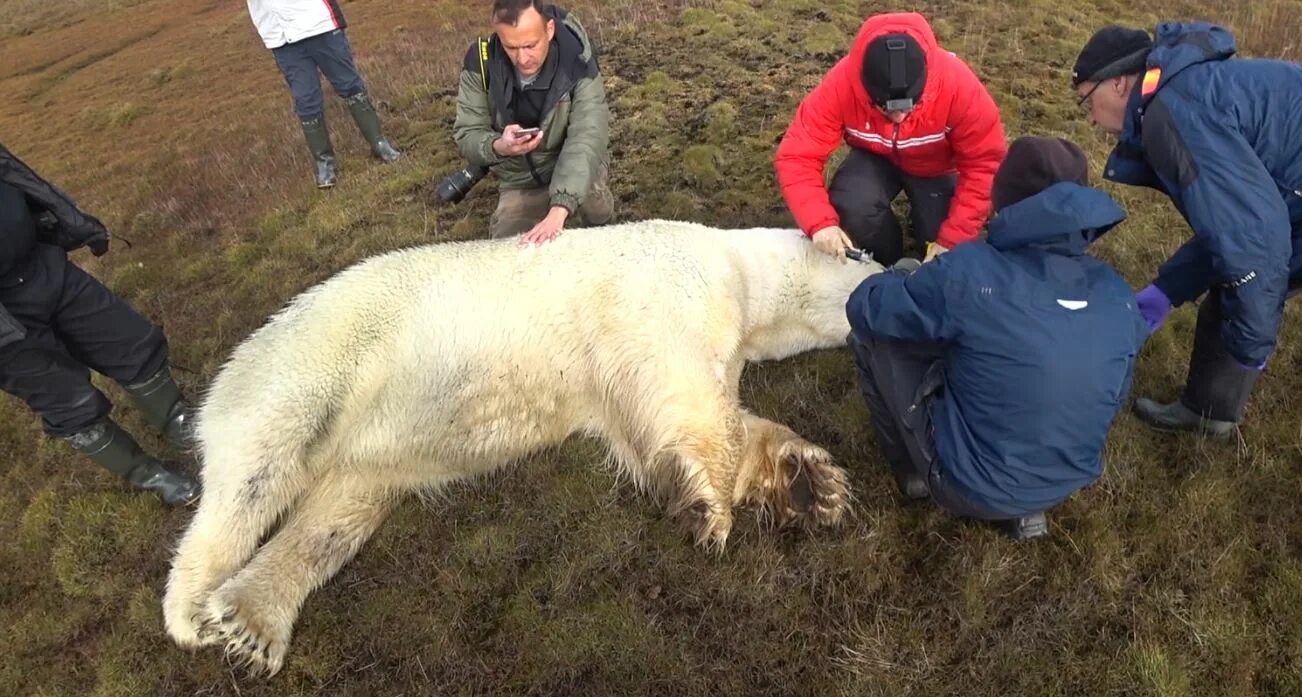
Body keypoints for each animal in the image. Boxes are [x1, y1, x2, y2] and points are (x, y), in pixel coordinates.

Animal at [157, 220, 880, 677]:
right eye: (869, 258)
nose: (902, 265)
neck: (736, 266)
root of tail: (229, 370)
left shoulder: (627, 380)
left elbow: (675, 417)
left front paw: (812, 485)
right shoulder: (667, 290)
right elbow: (689, 391)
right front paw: (714, 512)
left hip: (363, 459)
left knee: (336, 516)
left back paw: (250, 622)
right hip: (311, 370)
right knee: (253, 477)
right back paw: (193, 612)